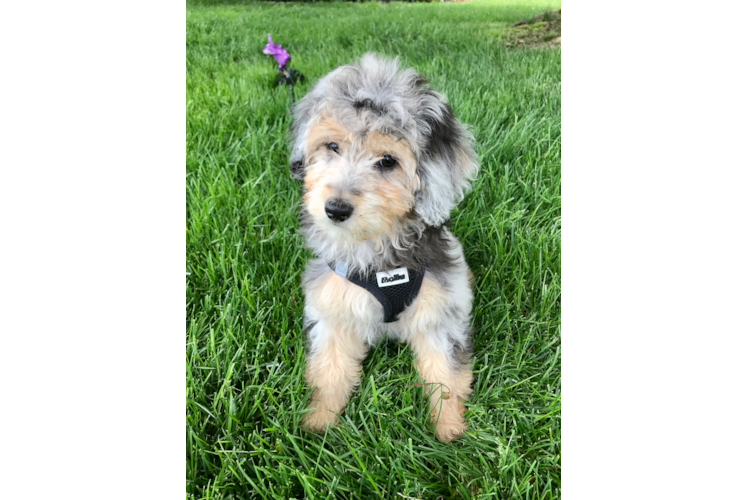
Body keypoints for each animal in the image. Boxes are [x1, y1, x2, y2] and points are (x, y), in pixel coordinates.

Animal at [286, 52, 480, 442]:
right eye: (332, 146)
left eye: (387, 161)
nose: (335, 209)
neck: (377, 254)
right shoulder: (332, 309)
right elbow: (329, 371)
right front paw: (319, 425)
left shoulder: (439, 314)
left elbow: (445, 375)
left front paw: (449, 432)